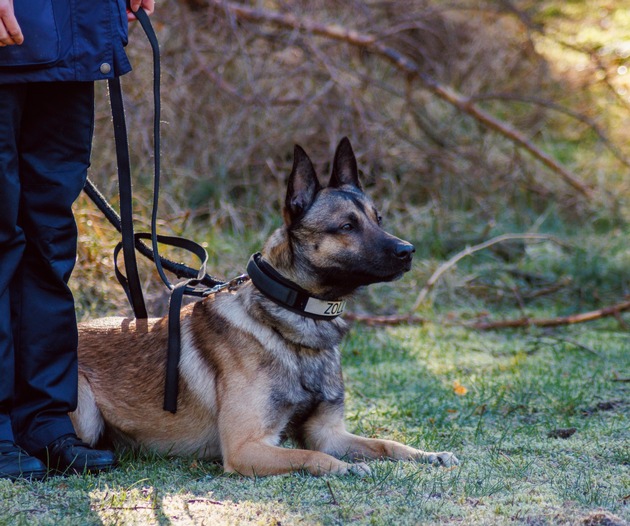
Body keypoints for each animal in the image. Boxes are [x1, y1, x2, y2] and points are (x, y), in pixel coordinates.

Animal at [71, 139, 460, 478]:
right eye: (347, 226)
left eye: (378, 220)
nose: (408, 251)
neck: (294, 320)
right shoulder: (247, 447)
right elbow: (311, 455)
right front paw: (346, 468)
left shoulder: (329, 433)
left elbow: (385, 443)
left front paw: (427, 454)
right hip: (86, 412)